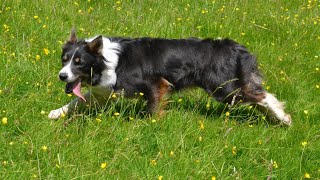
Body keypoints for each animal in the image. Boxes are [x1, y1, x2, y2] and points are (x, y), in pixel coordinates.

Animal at [48, 29, 292, 125]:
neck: (106, 61)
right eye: (64, 60)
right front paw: (56, 113)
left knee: (261, 96)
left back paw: (284, 118)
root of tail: (235, 47)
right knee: (257, 95)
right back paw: (276, 118)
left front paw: (152, 125)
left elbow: (154, 108)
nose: (62, 76)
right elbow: (77, 102)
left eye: (79, 63)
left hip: (224, 89)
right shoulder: (104, 93)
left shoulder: (156, 83)